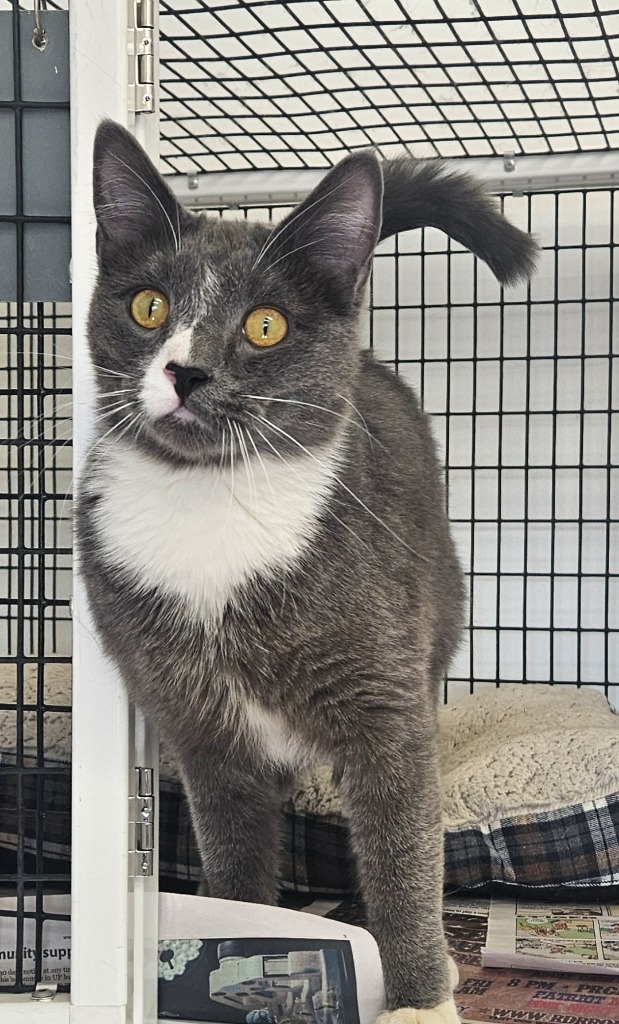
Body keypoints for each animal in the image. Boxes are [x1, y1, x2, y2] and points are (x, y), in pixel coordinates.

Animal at [77, 123, 537, 1024]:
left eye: (264, 326)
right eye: (149, 307)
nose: (185, 371)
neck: (208, 498)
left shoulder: (385, 703)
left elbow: (402, 856)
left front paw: (420, 997)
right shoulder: (200, 728)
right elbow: (233, 849)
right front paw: (236, 932)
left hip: (436, 602)